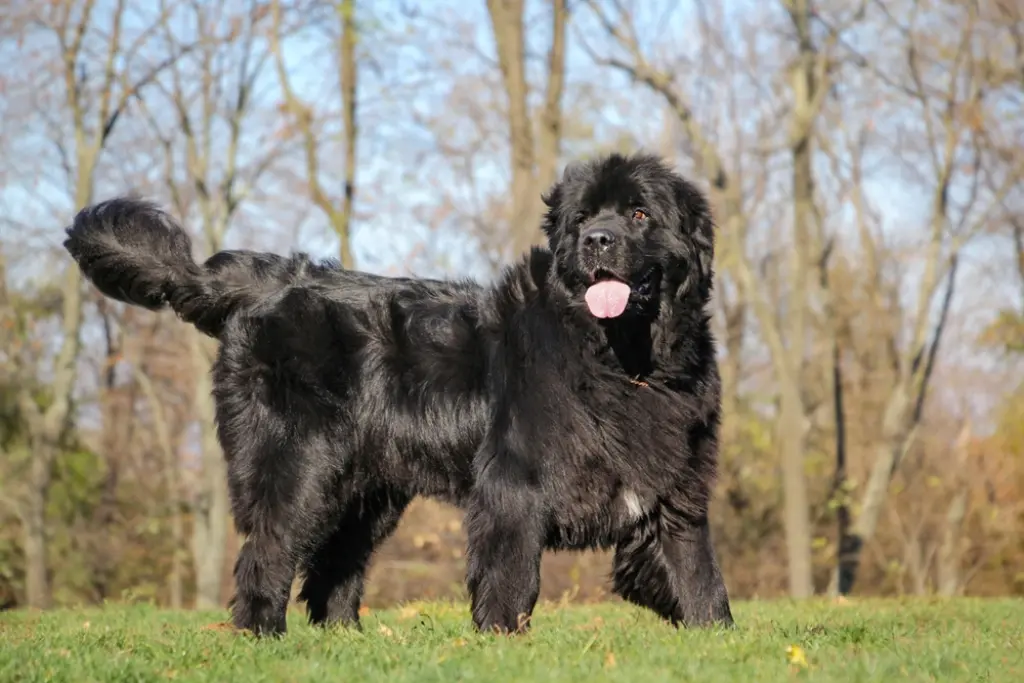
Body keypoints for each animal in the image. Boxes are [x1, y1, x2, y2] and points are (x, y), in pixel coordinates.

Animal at [61, 153, 737, 634]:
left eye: (640, 214)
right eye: (582, 219)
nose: (597, 239)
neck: (624, 362)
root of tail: (265, 283)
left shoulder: (676, 487)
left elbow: (700, 575)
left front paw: (715, 639)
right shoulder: (514, 485)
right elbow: (512, 577)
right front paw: (502, 644)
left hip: (367, 493)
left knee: (333, 570)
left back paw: (347, 643)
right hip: (298, 464)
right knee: (269, 551)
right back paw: (262, 638)